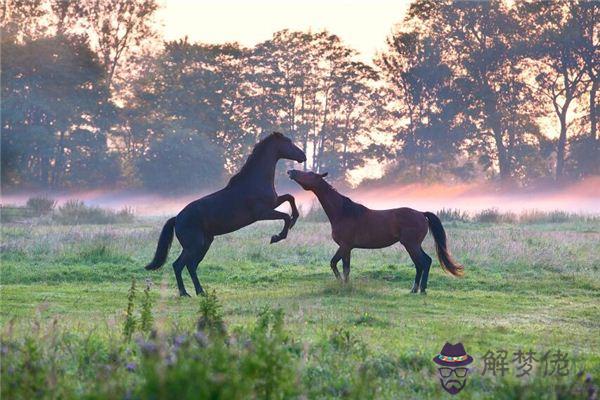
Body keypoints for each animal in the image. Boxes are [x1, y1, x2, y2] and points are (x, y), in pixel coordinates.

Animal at [144, 133, 304, 296]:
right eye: (288, 143)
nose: (303, 156)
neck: (254, 182)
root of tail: (177, 219)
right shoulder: (262, 213)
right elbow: (285, 216)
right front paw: (277, 237)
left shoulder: (273, 203)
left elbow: (290, 197)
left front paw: (294, 220)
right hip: (194, 245)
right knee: (180, 265)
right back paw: (186, 293)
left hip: (204, 244)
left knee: (190, 266)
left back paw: (199, 292)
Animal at [288, 170, 466, 294]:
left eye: (310, 174)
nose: (291, 171)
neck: (343, 212)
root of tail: (422, 214)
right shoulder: (348, 248)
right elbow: (346, 268)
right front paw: (346, 285)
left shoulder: (344, 246)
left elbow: (333, 263)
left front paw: (340, 284)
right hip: (413, 245)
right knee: (421, 263)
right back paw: (415, 289)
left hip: (411, 245)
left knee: (424, 262)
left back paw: (420, 289)